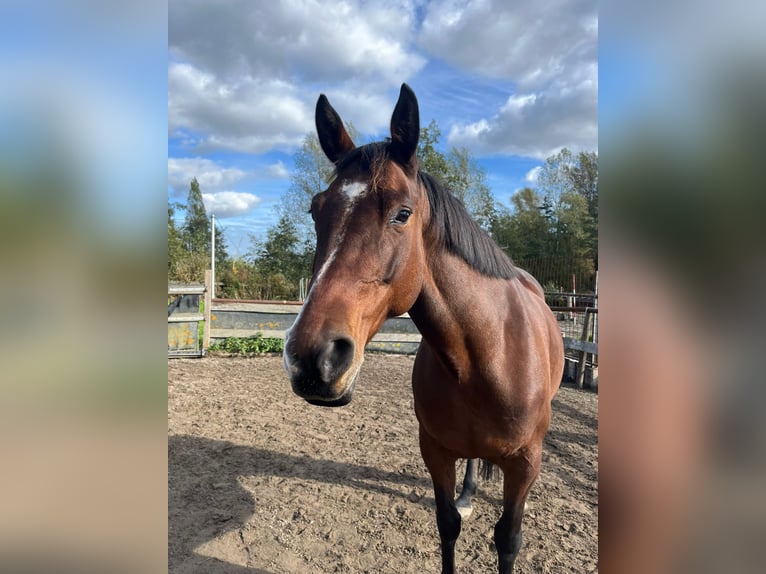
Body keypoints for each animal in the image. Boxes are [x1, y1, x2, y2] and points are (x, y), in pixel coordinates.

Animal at [283, 84, 564, 574]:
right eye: (316, 210)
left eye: (402, 213)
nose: (312, 358)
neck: (488, 355)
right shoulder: (435, 451)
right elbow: (447, 525)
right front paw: (460, 506)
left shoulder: (526, 461)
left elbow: (508, 540)